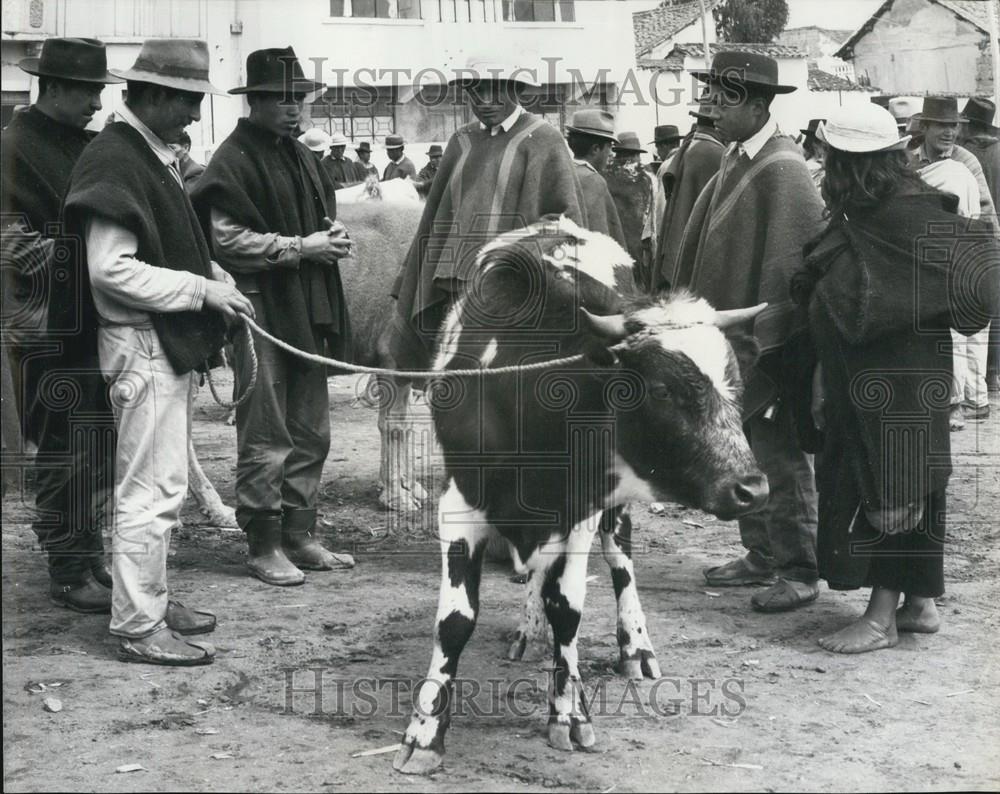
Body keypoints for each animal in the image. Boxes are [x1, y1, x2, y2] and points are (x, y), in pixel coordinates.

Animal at [394, 213, 768, 772]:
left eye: (736, 385)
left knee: (620, 559)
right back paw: (528, 631)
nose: (752, 488)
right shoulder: (459, 503)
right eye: (662, 390)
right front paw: (424, 733)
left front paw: (570, 713)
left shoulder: (582, 507)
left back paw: (635, 647)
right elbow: (456, 620)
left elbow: (568, 609)